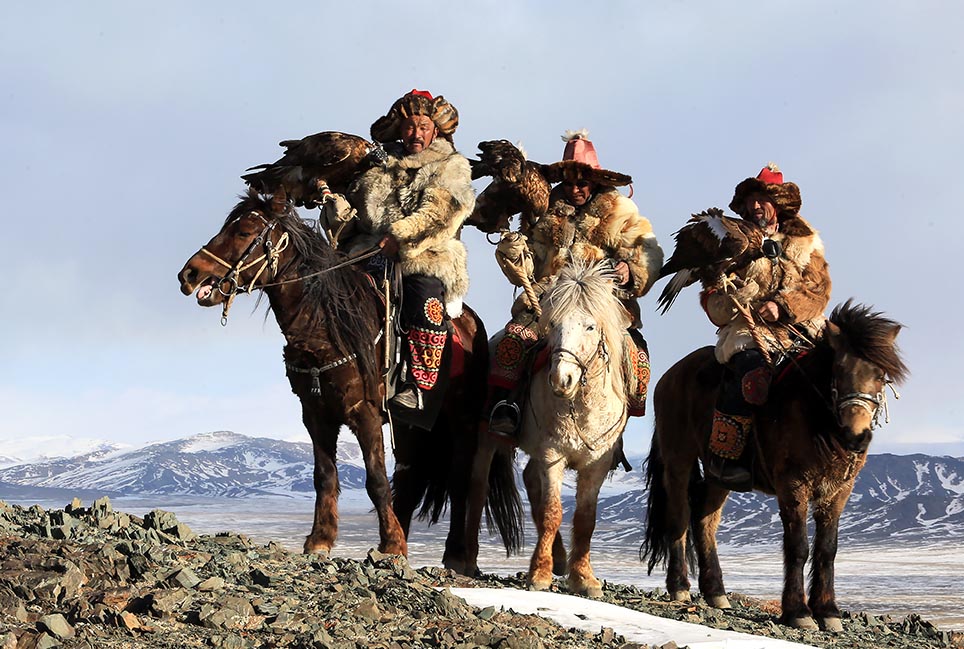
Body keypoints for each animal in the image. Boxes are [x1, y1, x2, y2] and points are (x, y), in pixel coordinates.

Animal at [177, 185, 524, 564]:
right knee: (410, 478)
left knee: (461, 479)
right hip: (410, 426)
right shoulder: (316, 415)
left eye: (243, 232)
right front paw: (321, 540)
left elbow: (375, 480)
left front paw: (390, 545)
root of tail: (471, 323)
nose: (189, 275)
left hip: (460, 420)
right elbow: (325, 476)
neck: (326, 327)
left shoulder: (365, 413)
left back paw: (456, 555)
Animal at [466, 260, 632, 596]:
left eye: (590, 326)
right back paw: (463, 559)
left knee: (530, 479)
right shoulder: (553, 454)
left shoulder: (596, 465)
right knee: (479, 488)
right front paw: (539, 574)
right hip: (488, 439)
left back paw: (560, 558)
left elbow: (585, 518)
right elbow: (552, 512)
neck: (581, 407)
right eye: (553, 324)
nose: (561, 379)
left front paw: (583, 578)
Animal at [644, 302, 908, 632]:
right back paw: (679, 586)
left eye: (881, 375)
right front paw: (798, 612)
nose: (855, 435)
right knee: (679, 516)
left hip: (720, 477)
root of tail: (670, 375)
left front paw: (828, 611)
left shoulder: (839, 492)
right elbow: (798, 546)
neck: (814, 415)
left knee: (705, 520)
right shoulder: (793, 486)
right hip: (678, 458)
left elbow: (827, 549)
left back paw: (716, 592)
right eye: (839, 370)